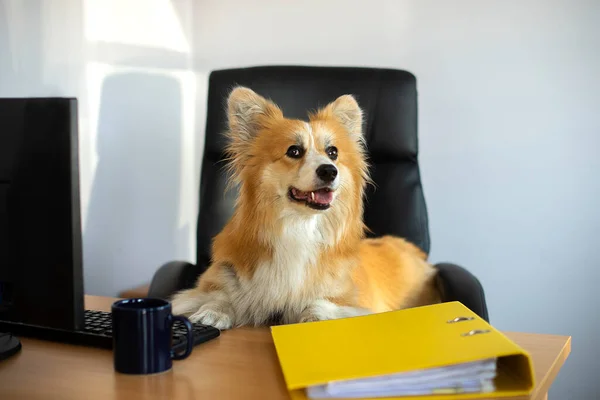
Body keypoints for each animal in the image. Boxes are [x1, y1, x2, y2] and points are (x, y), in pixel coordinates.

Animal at [170, 85, 440, 328]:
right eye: (294, 151)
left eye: (333, 153)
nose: (330, 171)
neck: (299, 226)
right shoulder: (219, 278)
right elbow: (218, 295)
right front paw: (212, 312)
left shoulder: (349, 301)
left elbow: (320, 303)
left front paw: (314, 316)